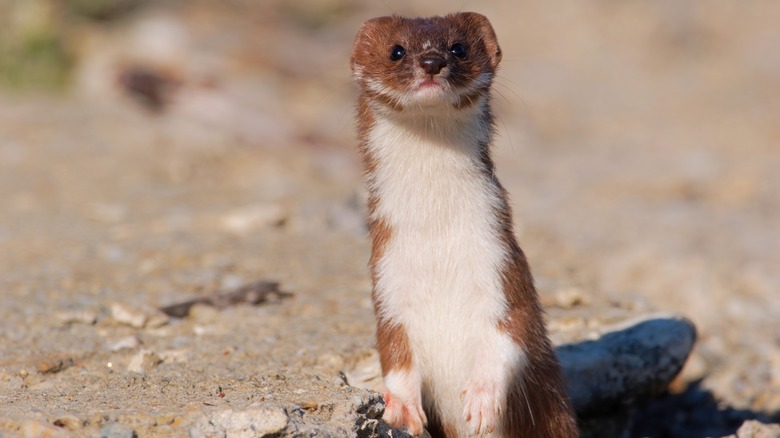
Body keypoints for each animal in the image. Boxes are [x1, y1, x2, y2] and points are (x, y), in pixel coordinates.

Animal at [354, 12, 580, 436]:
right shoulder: (387, 281)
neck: (437, 241)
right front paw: (401, 408)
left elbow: (511, 333)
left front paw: (481, 397)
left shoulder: (501, 264)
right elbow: (394, 353)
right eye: (396, 50)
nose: (432, 62)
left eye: (458, 47)